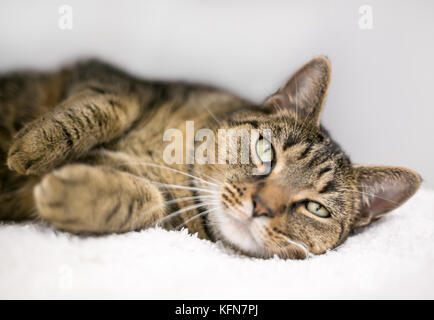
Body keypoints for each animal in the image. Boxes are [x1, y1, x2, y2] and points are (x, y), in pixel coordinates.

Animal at [0, 56, 420, 258]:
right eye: (266, 152)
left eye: (317, 209)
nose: (261, 207)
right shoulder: (114, 78)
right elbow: (107, 105)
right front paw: (31, 148)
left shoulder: (169, 218)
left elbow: (149, 202)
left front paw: (74, 193)